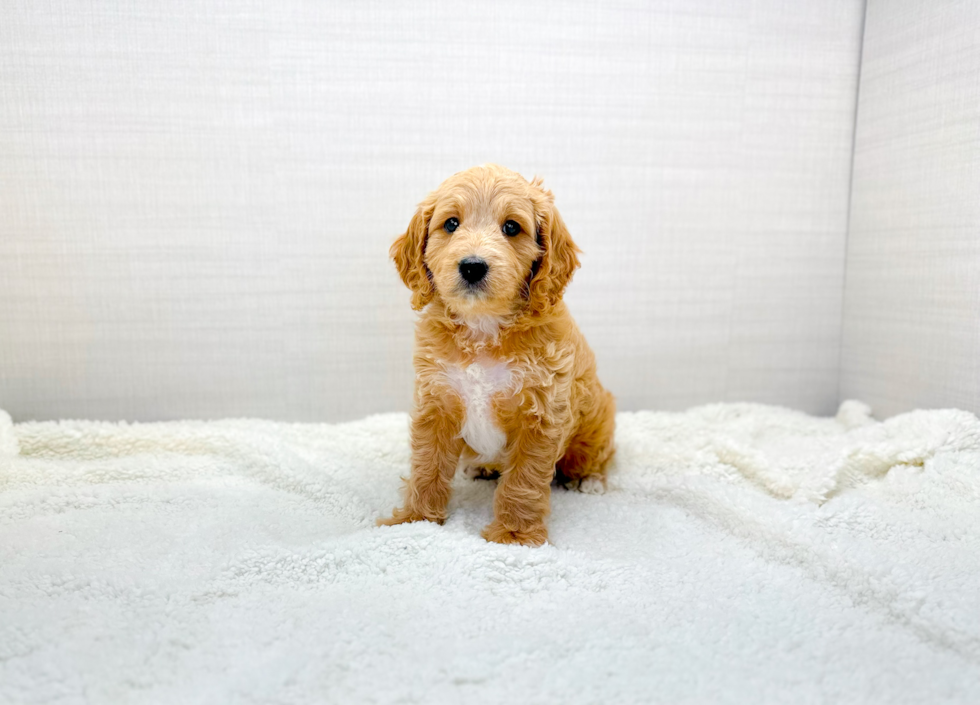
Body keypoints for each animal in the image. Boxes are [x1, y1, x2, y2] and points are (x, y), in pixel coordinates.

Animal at [380, 164, 616, 544]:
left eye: (511, 227)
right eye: (451, 224)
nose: (473, 266)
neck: (483, 327)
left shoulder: (541, 414)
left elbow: (523, 480)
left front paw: (513, 534)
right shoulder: (436, 402)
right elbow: (427, 466)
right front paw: (416, 519)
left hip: (599, 417)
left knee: (596, 453)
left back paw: (589, 478)